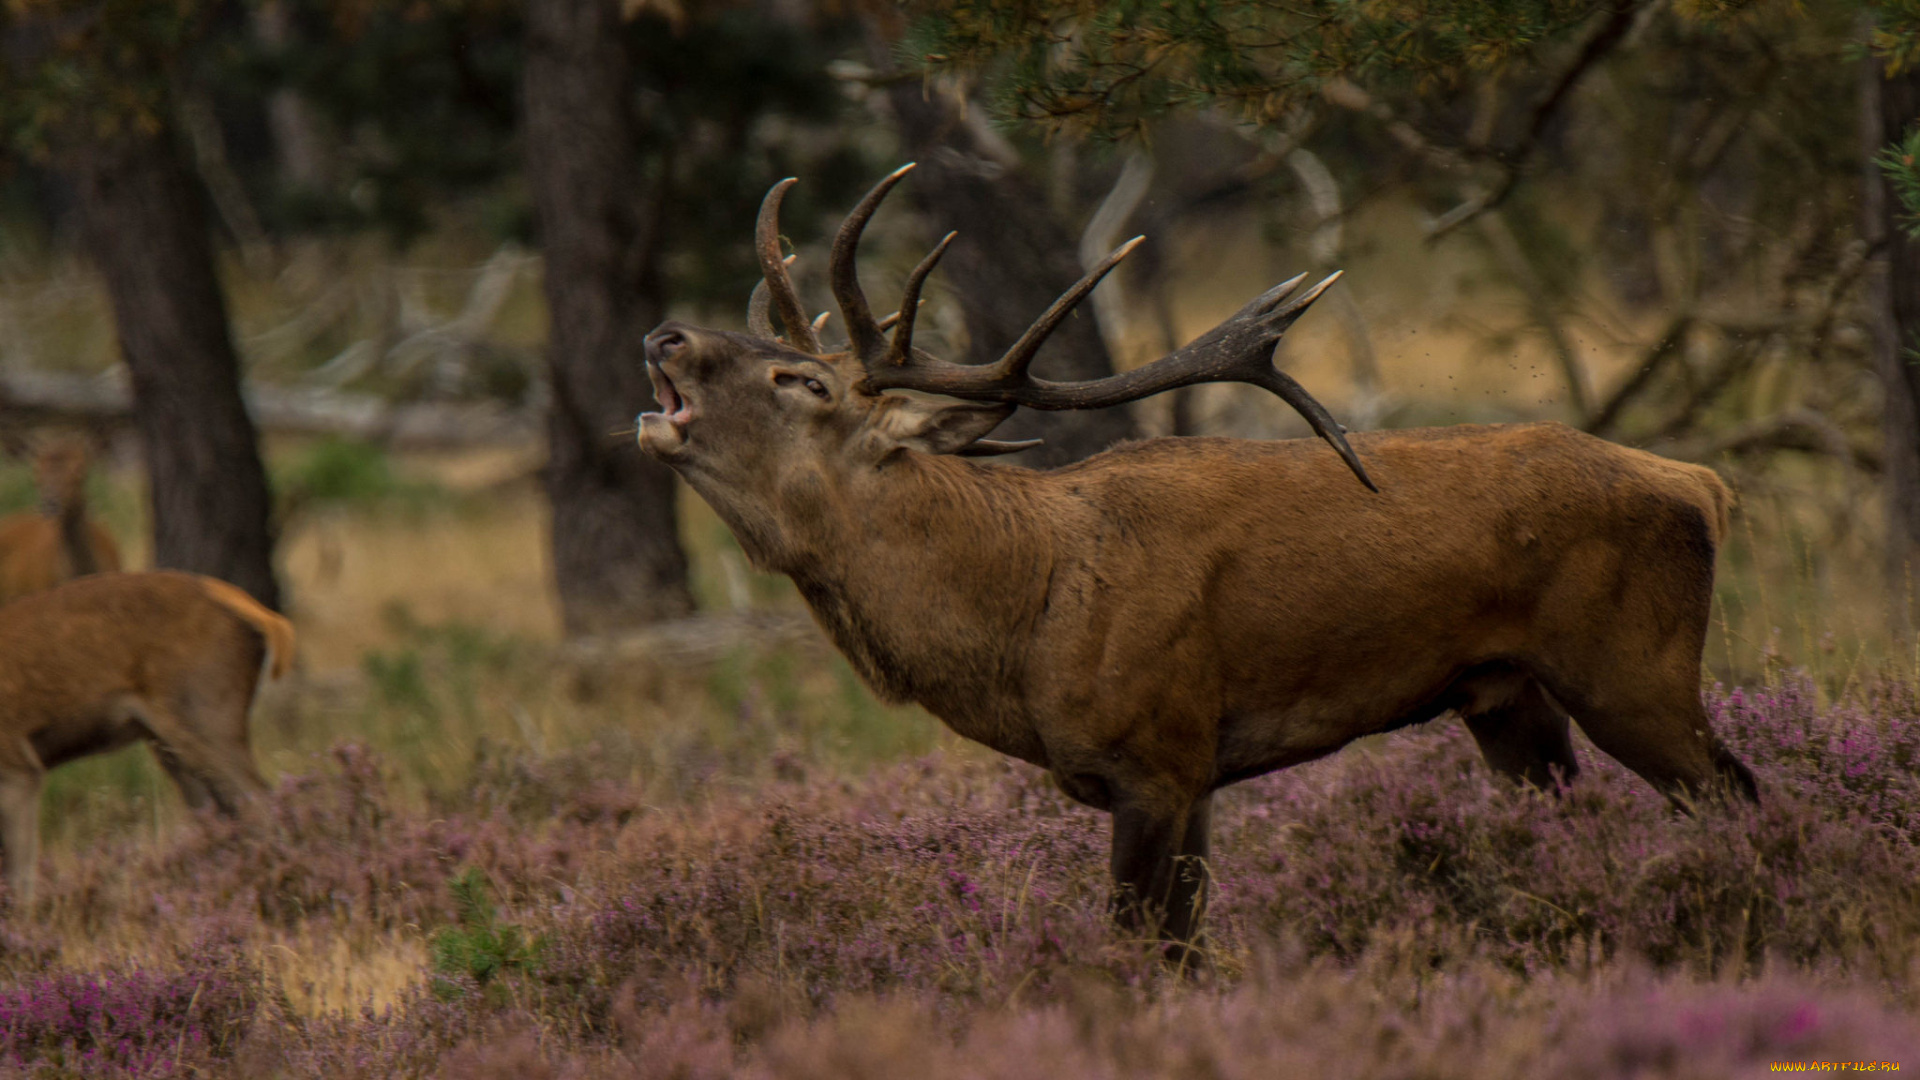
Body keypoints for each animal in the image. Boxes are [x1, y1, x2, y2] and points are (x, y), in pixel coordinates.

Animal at [0, 568, 291, 903]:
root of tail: (262, 614)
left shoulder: (17, 767)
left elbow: (19, 882)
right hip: (171, 743)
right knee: (223, 812)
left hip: (205, 714)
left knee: (259, 801)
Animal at [637, 164, 1758, 953]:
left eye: (804, 383)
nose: (665, 333)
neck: (1022, 628)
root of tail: (1702, 484)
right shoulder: (1198, 776)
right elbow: (1187, 947)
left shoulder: (1158, 755)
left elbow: (1145, 953)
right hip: (1507, 699)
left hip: (1632, 668)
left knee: (1736, 794)